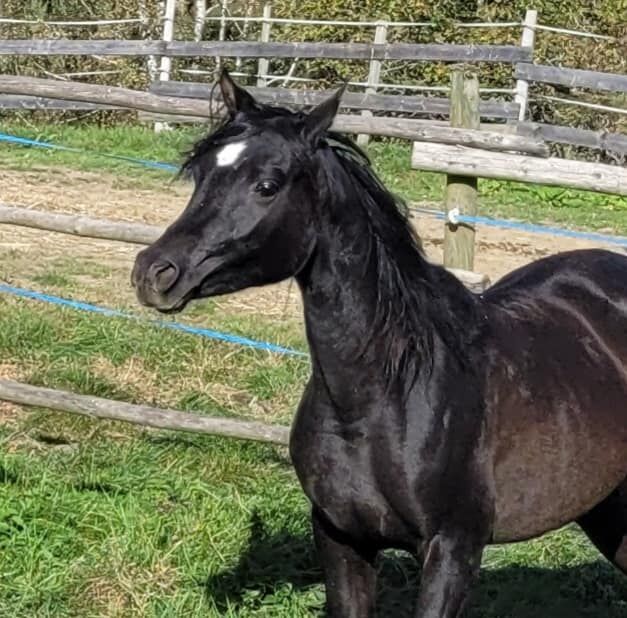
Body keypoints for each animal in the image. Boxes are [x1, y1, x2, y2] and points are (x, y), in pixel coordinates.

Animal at [134, 70, 627, 612]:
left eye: (267, 185)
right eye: (201, 174)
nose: (154, 273)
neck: (380, 398)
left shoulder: (453, 551)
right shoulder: (341, 538)